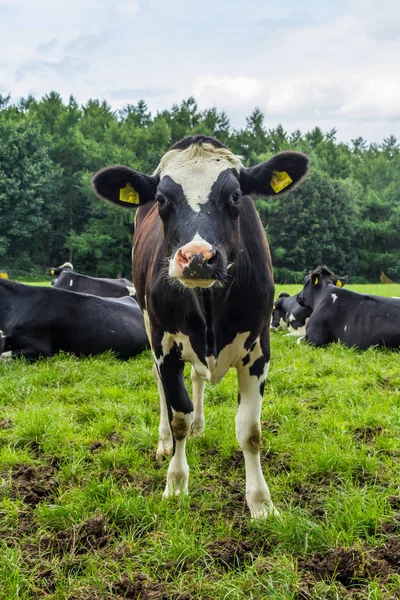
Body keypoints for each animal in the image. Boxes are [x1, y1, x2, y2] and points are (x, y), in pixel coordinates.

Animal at [93, 134, 310, 516]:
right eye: (162, 199)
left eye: (235, 196)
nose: (196, 258)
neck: (210, 308)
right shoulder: (165, 346)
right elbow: (178, 412)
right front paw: (176, 483)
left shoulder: (259, 350)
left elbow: (250, 430)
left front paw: (261, 503)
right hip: (148, 322)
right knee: (162, 390)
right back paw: (165, 441)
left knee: (196, 380)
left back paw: (199, 426)